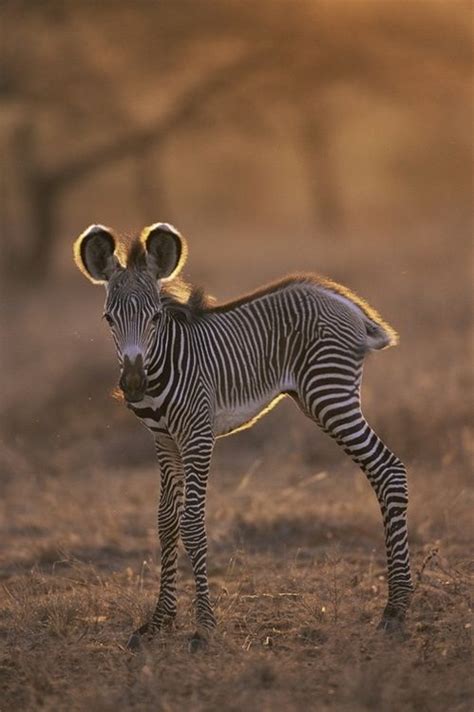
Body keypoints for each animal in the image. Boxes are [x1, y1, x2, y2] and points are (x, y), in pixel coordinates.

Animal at [73, 224, 412, 652]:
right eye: (109, 319)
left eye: (155, 317)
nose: (132, 384)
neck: (166, 361)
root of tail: (344, 302)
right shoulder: (164, 442)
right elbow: (166, 522)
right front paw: (160, 620)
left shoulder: (198, 435)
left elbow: (192, 524)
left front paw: (204, 627)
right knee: (383, 473)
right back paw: (396, 604)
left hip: (329, 395)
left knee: (389, 470)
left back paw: (396, 609)